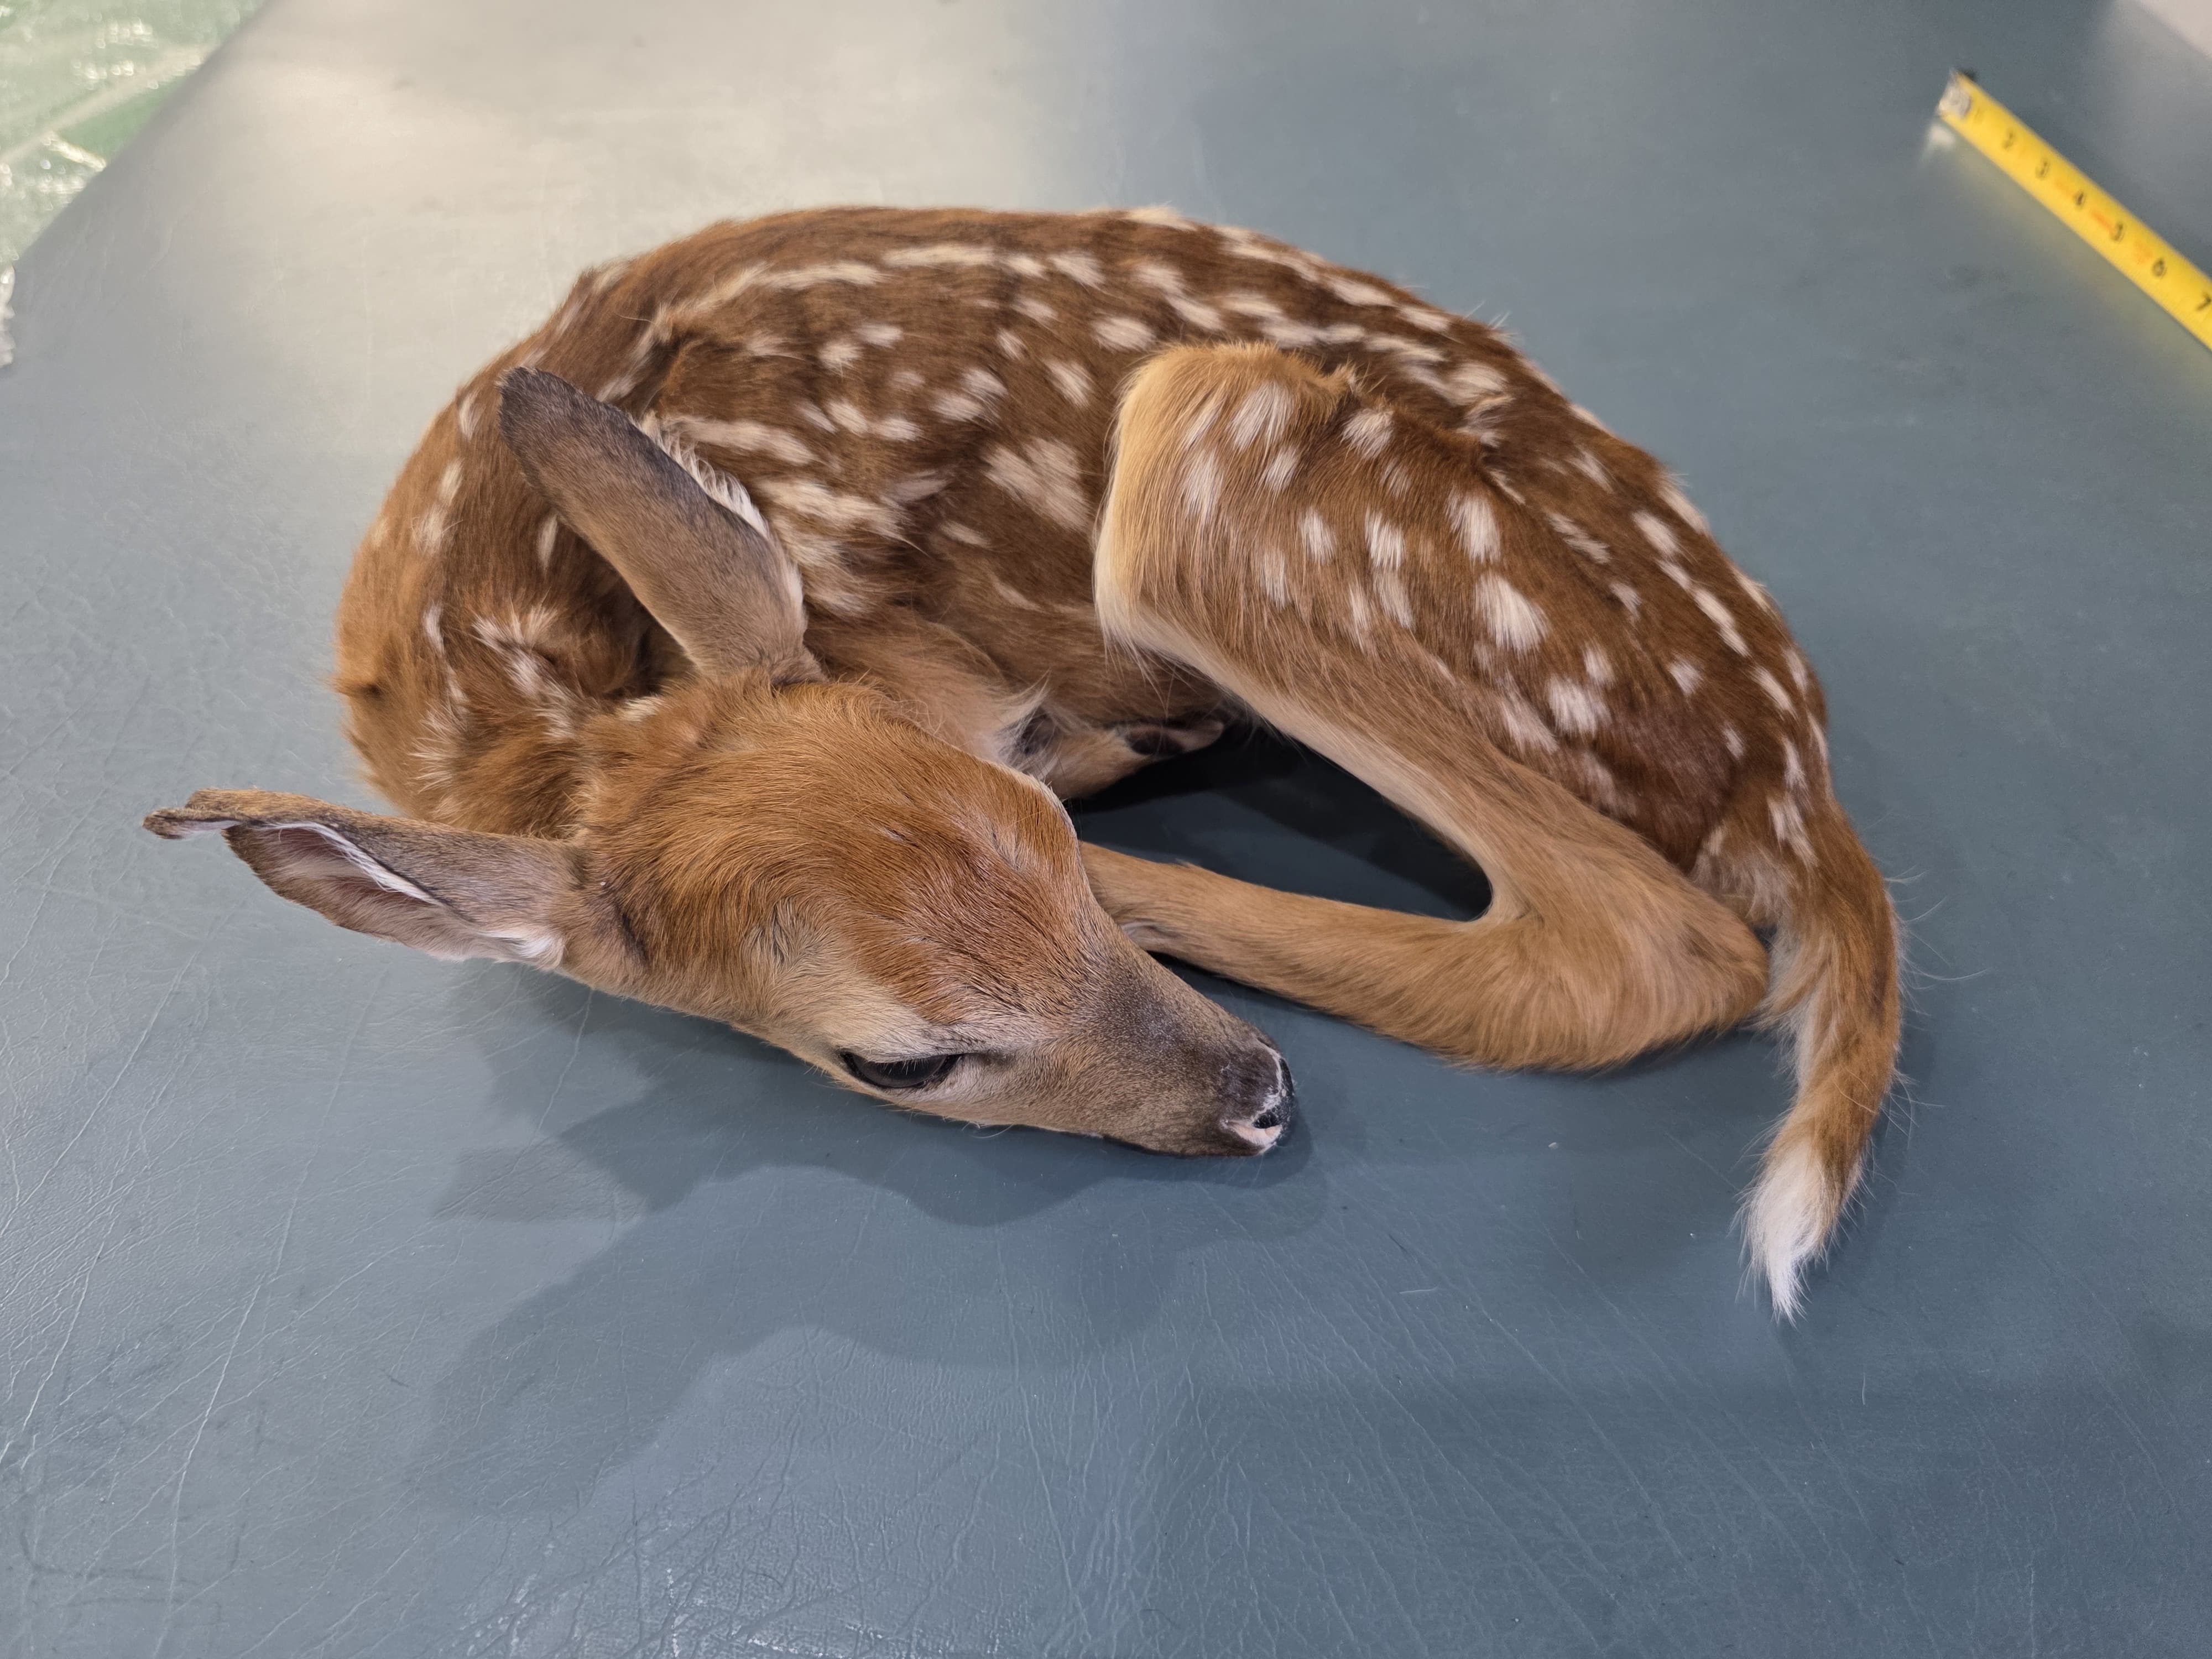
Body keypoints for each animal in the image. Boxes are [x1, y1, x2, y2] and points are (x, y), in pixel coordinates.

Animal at [145, 206, 1900, 1317]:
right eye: (900, 1066)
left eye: (1039, 842)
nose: (1261, 1098)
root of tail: (1787, 781)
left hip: (1208, 454)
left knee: (1654, 950)